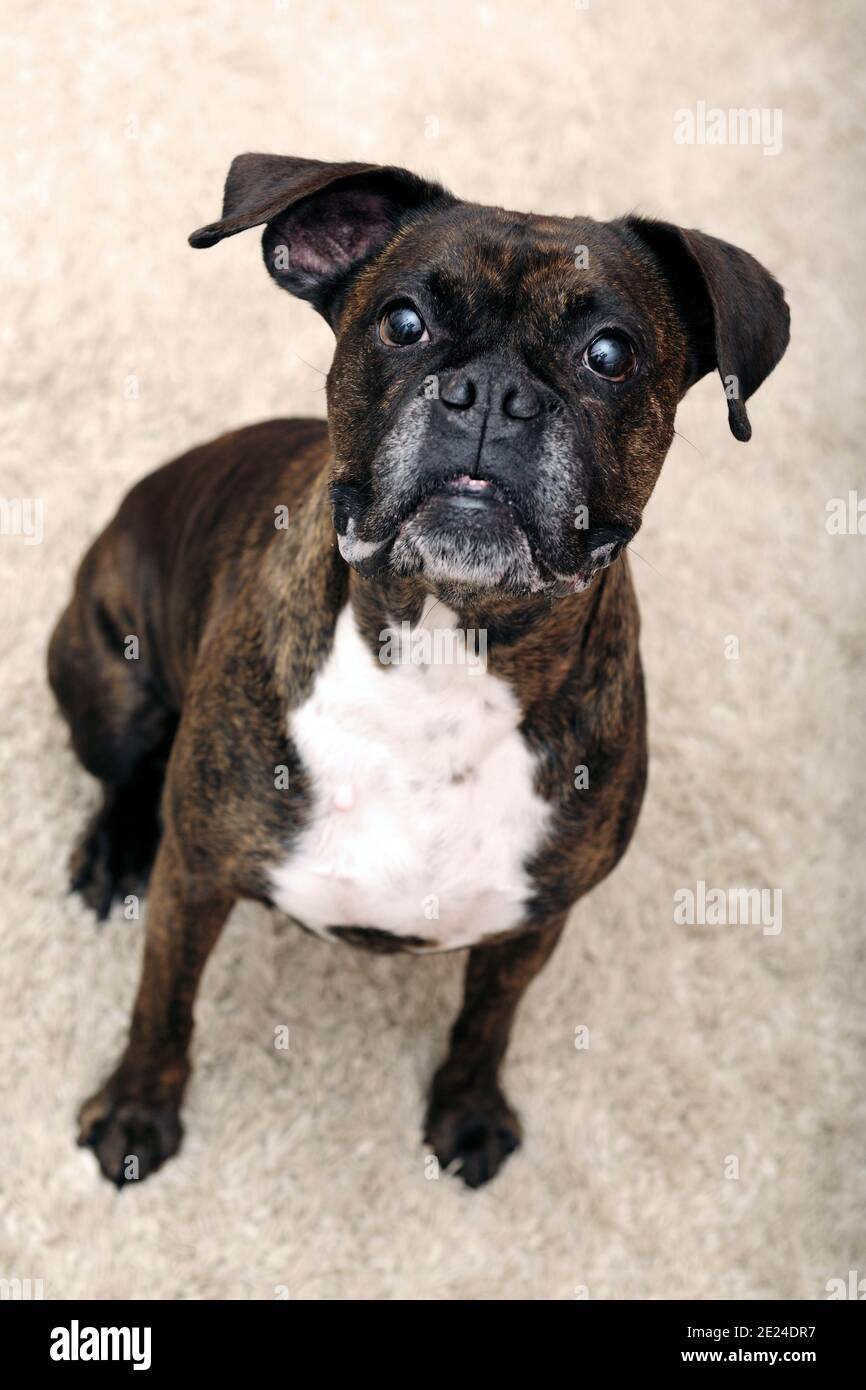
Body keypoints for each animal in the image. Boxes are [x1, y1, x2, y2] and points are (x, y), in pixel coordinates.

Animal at [47, 157, 795, 1189]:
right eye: (403, 323)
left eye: (610, 354)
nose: (490, 394)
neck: (445, 651)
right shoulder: (196, 875)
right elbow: (164, 1003)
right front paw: (133, 1112)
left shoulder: (535, 921)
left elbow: (487, 1022)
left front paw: (469, 1113)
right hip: (110, 680)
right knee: (125, 771)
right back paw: (114, 852)